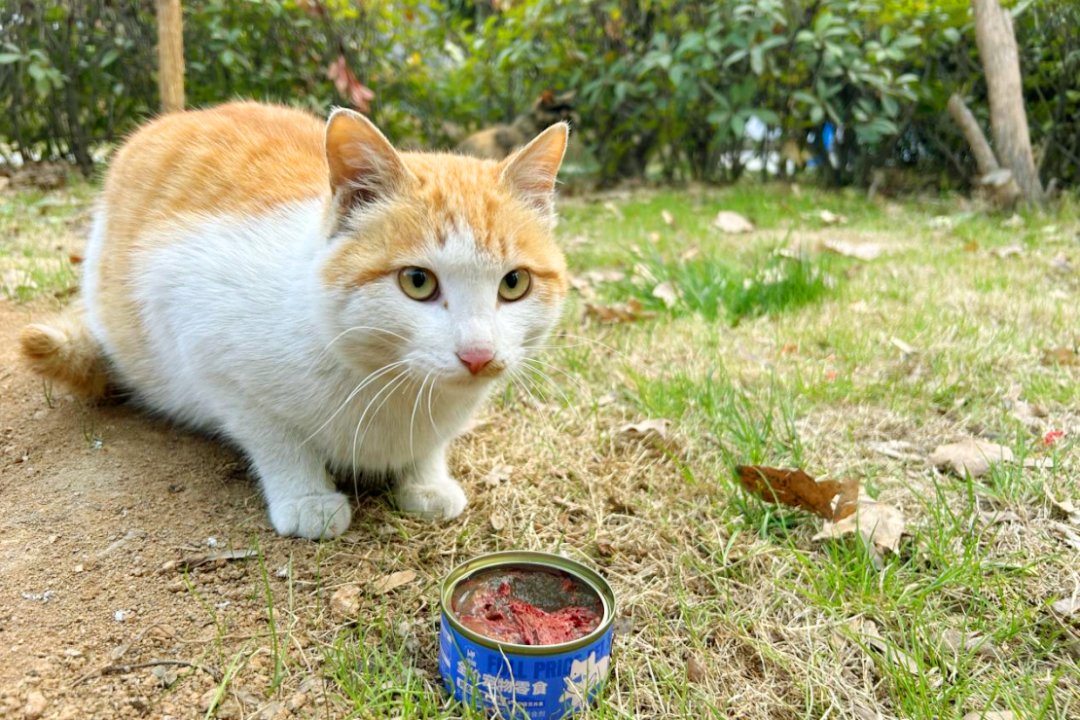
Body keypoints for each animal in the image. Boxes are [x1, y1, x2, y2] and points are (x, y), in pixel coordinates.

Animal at [21, 101, 570, 539]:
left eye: (514, 283)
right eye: (417, 281)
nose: (479, 355)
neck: (391, 385)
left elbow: (430, 446)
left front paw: (426, 481)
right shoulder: (202, 338)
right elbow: (275, 437)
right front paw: (307, 497)